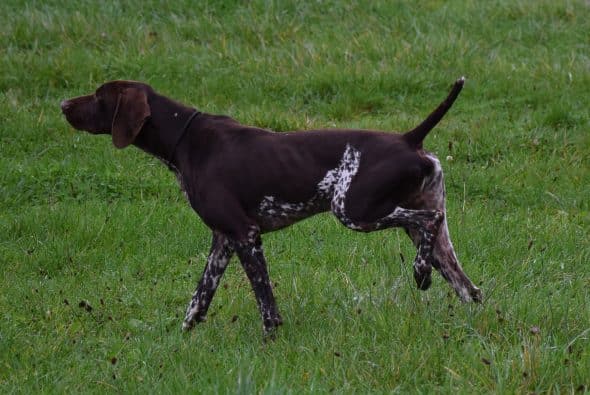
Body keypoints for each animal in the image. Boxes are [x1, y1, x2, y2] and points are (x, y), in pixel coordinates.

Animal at [62, 78, 484, 338]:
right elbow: (198, 300)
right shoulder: (223, 241)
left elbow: (265, 301)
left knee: (430, 222)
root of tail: (409, 139)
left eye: (99, 96)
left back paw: (420, 272)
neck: (187, 139)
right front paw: (180, 338)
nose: (63, 103)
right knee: (470, 289)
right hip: (430, 240)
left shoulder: (245, 235)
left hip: (355, 211)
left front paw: (270, 338)